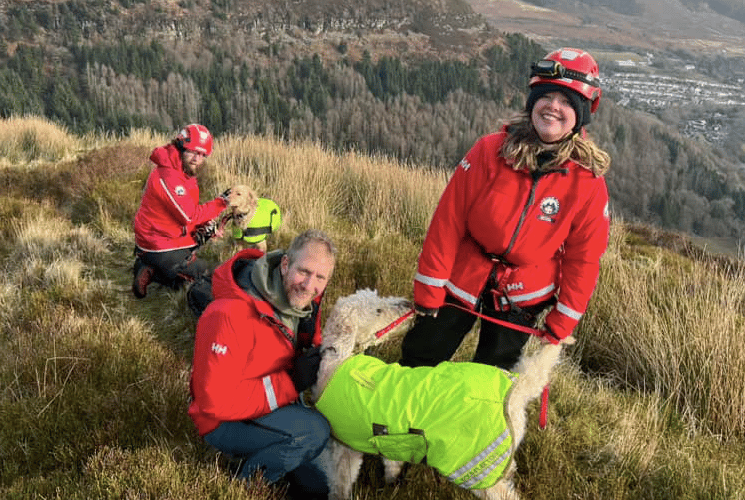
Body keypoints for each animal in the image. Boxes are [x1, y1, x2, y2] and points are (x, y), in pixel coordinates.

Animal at [310, 290, 572, 500]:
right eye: (378, 309)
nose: (408, 304)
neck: (339, 360)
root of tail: (517, 388)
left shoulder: (344, 449)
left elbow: (340, 484)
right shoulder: (391, 442)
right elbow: (391, 464)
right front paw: (391, 483)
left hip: (477, 465)